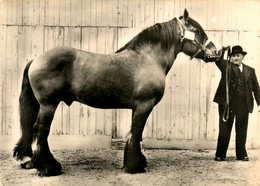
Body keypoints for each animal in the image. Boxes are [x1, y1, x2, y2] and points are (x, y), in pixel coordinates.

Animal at [13, 9, 220, 176]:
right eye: (198, 31)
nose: (216, 53)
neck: (148, 58)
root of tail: (36, 59)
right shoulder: (144, 105)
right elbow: (136, 133)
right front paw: (134, 166)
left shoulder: (138, 107)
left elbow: (136, 134)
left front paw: (138, 161)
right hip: (49, 104)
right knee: (41, 131)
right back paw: (49, 167)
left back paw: (31, 162)